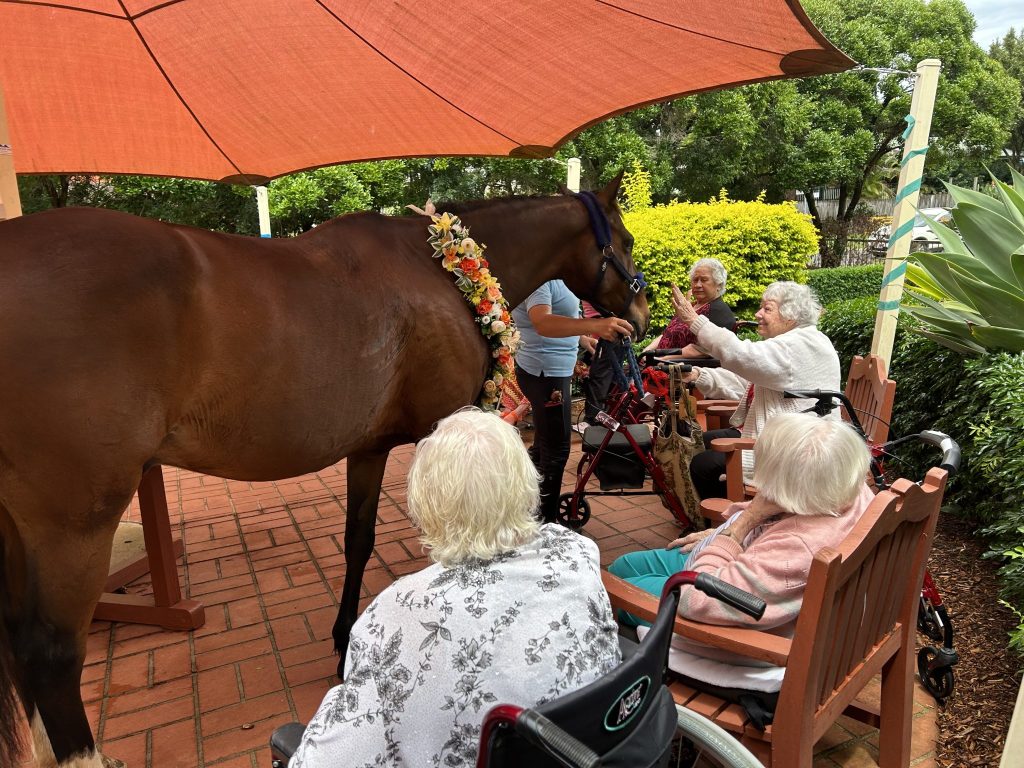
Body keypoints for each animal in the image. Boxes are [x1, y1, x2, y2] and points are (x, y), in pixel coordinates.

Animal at [0, 176, 647, 768]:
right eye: (629, 240)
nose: (638, 319)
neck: (440, 269)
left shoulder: (369, 448)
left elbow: (357, 538)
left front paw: (342, 640)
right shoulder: (440, 431)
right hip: (76, 524)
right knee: (50, 656)